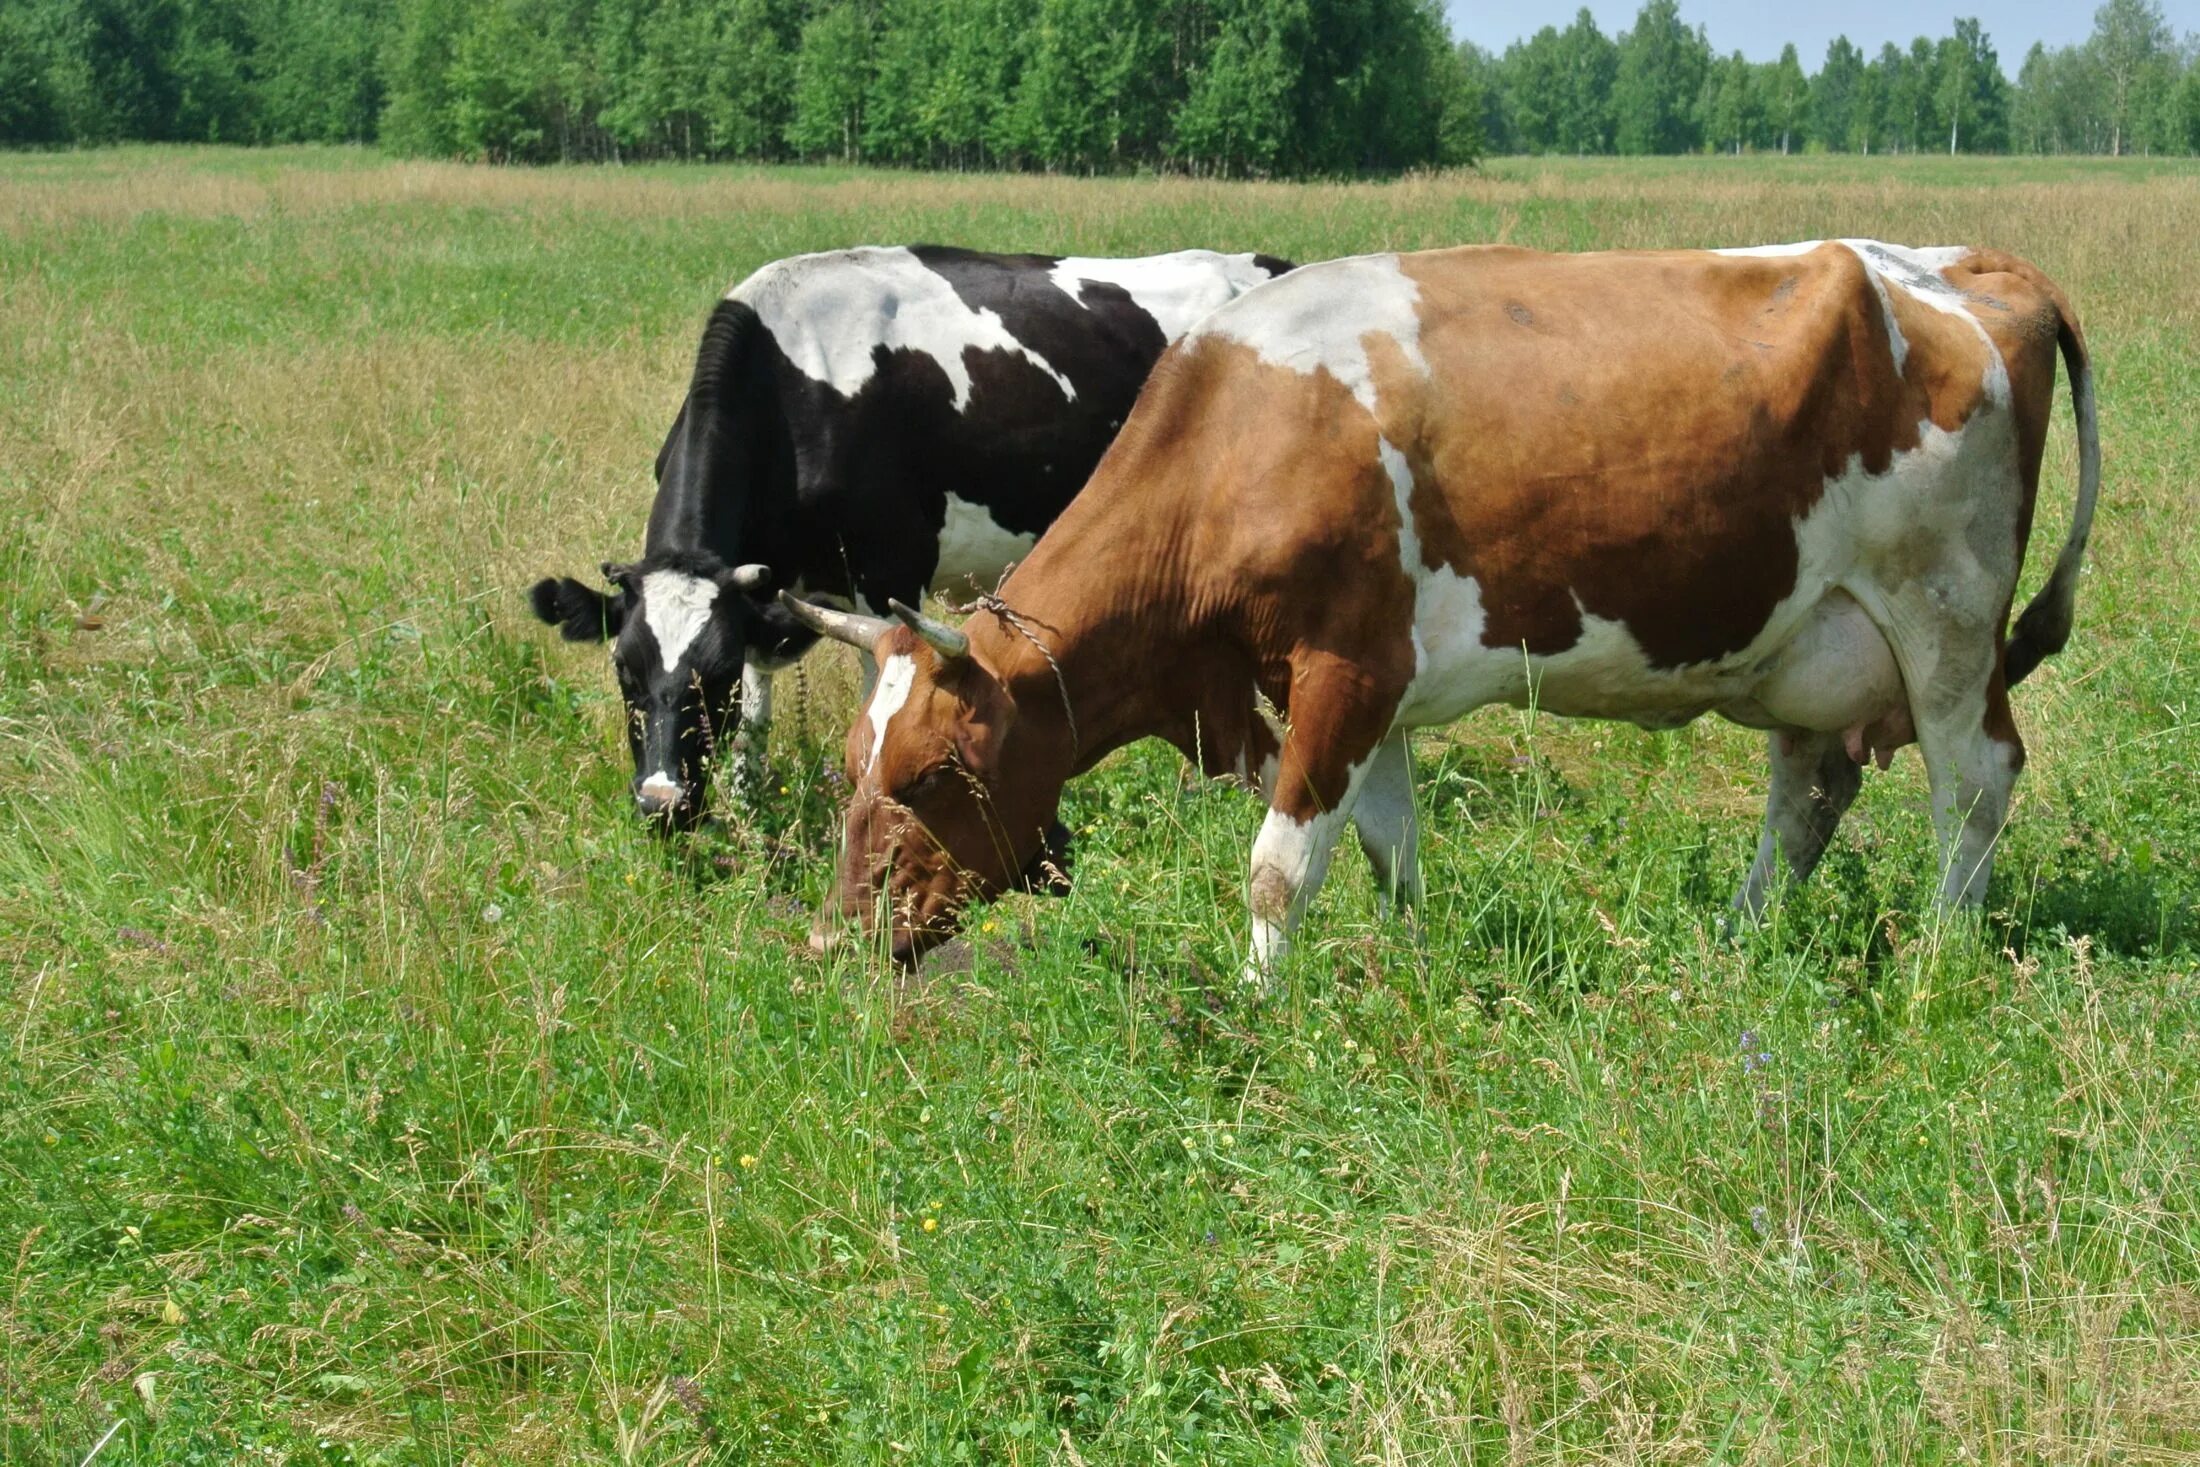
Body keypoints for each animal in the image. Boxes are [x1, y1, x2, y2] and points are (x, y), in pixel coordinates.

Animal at [528, 246, 1284, 831]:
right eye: (625, 672)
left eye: (708, 678)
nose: (664, 804)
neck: (794, 392)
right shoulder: (766, 584)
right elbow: (759, 710)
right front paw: (746, 806)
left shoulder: (889, 573)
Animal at [783, 240, 2103, 976]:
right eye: (851, 763)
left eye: (933, 774)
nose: (833, 941)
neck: (1244, 437)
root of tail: (1965, 269)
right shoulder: (1366, 693)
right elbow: (1389, 851)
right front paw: (1411, 969)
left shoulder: (1344, 672)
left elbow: (1278, 869)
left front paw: (1259, 1008)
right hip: (1808, 639)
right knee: (1809, 792)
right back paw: (1737, 943)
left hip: (1942, 621)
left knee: (1972, 785)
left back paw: (1938, 956)